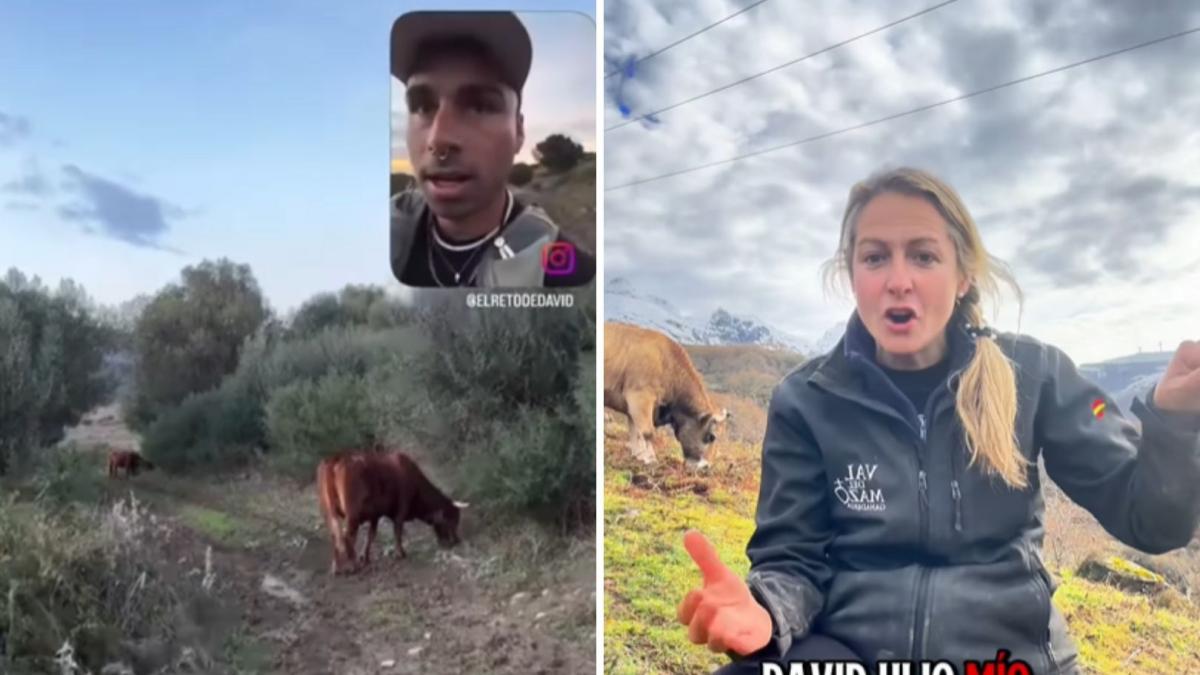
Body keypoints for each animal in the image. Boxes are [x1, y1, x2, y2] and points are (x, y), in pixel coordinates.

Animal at [316, 449, 468, 575]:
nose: (457, 540)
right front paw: (400, 553)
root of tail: (337, 458)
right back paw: (353, 566)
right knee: (347, 537)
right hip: (352, 515)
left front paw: (365, 557)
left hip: (329, 513)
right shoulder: (402, 508)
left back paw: (336, 567)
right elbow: (397, 531)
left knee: (335, 535)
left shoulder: (375, 514)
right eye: (453, 519)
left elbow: (371, 535)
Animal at [603, 321, 729, 468]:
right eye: (711, 437)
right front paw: (650, 459)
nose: (706, 467)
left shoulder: (634, 406)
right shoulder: (640, 398)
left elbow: (635, 431)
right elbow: (647, 432)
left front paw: (638, 456)